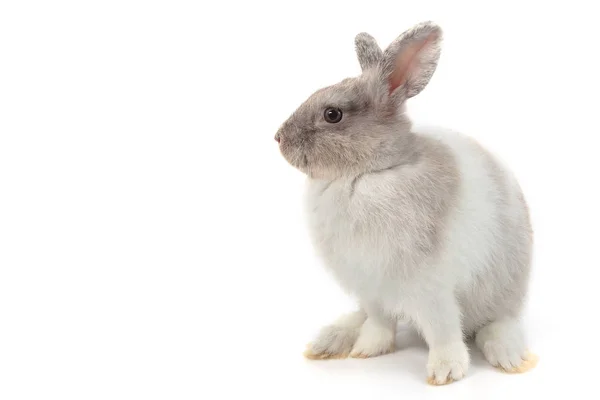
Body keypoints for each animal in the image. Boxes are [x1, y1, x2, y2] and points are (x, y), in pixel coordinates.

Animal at [274, 21, 536, 384]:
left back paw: (510, 356)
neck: (365, 174)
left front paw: (445, 371)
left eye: (332, 114)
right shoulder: (370, 286)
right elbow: (379, 323)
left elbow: (442, 329)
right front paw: (366, 350)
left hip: (502, 292)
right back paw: (329, 340)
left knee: (496, 324)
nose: (278, 138)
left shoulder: (430, 287)